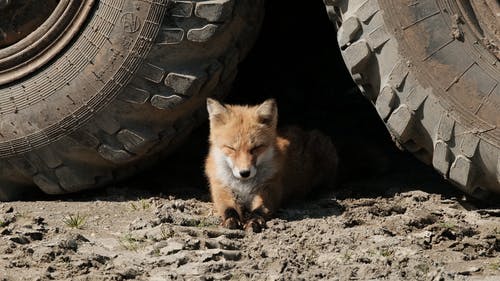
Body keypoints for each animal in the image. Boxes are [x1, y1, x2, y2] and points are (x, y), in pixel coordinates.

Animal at [205, 98, 338, 232]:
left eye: (256, 148)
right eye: (231, 148)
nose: (244, 173)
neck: (244, 186)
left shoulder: (270, 189)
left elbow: (260, 209)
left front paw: (254, 221)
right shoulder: (221, 189)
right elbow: (229, 209)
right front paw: (231, 220)